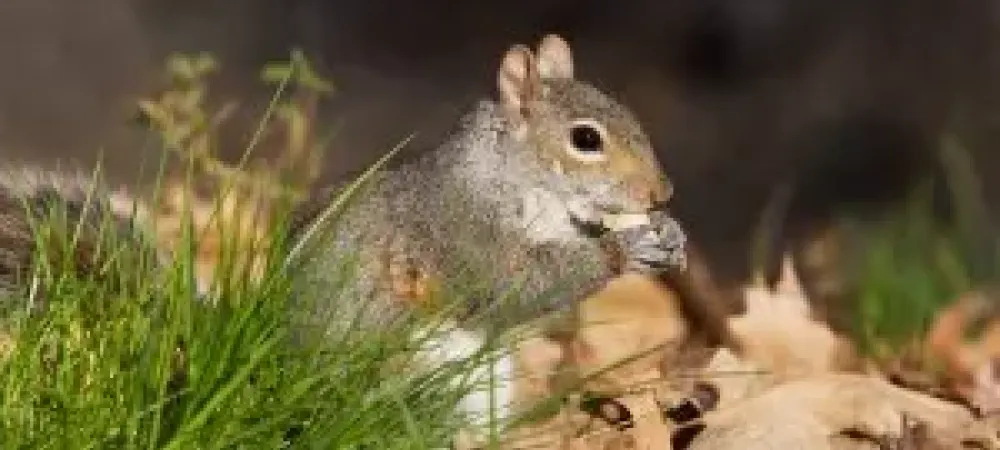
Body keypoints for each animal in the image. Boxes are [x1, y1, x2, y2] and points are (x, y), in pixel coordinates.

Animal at [288, 33, 696, 428]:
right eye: (585, 139)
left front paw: (670, 233)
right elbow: (511, 281)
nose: (662, 192)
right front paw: (624, 246)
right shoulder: (462, 224)